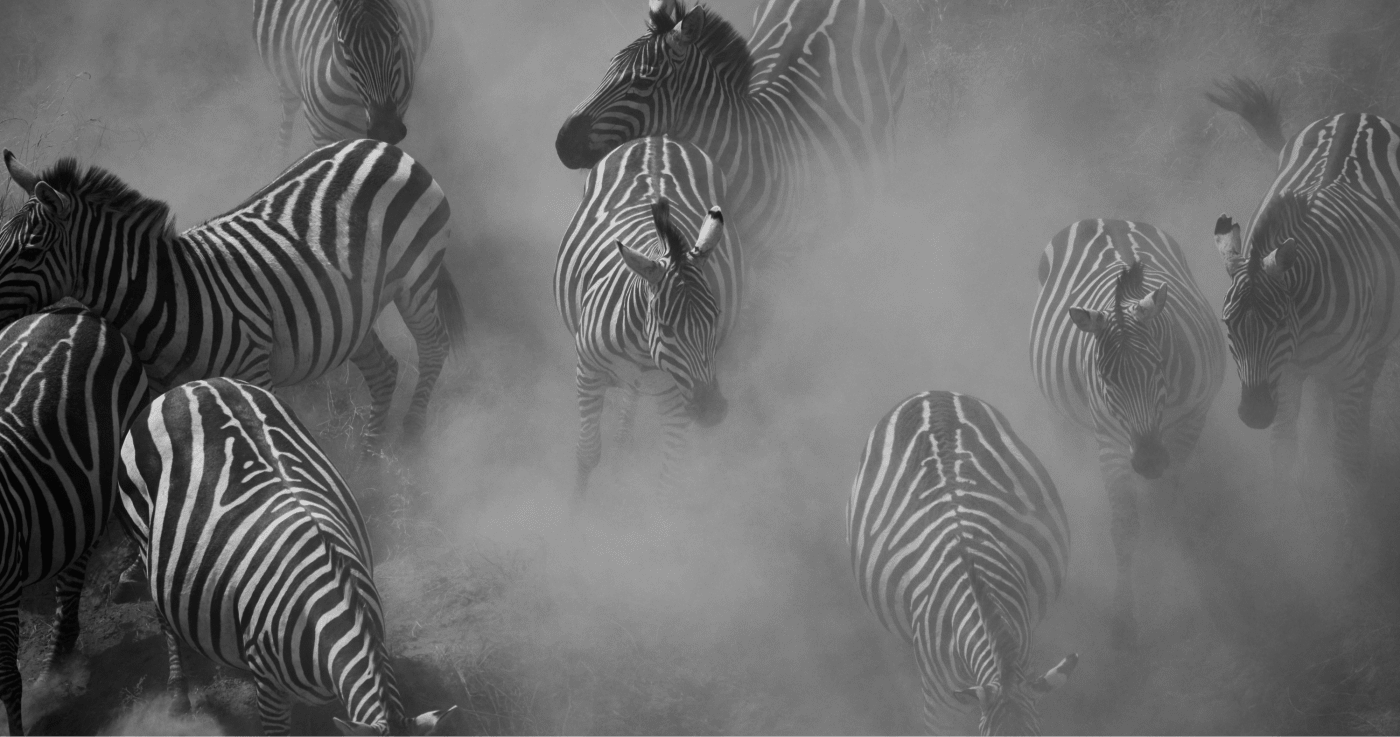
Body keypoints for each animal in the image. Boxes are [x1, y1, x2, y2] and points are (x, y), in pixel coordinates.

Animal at [0, 139, 464, 458]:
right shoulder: (166, 392)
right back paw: (369, 466)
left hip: (416, 278)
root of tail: (380, 145)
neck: (170, 296)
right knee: (384, 371)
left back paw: (412, 439)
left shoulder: (254, 371)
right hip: (351, 311)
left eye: (31, 251)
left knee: (434, 346)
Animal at [255, 0, 433, 154]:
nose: (386, 130)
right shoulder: (319, 132)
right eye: (345, 46)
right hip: (283, 72)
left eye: (396, 36)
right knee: (287, 118)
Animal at [556, 136, 741, 494]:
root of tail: (659, 138)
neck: (642, 349)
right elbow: (588, 452)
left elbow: (668, 479)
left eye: (715, 317)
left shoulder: (675, 394)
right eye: (667, 328)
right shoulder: (587, 370)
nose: (712, 411)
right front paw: (577, 509)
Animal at [1029, 218, 1225, 648]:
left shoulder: (1190, 422)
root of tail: (1103, 219)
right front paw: (1123, 619)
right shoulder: (1111, 443)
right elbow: (1124, 528)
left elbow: (1168, 507)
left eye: (1159, 364)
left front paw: (1180, 575)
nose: (1149, 461)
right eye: (1105, 379)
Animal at [1207, 77, 1400, 492]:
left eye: (1279, 322)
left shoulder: (1346, 370)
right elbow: (1282, 448)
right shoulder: (1287, 372)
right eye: (1228, 326)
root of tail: (1355, 114)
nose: (1254, 414)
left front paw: (1348, 506)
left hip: (1374, 341)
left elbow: (1345, 457)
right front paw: (1288, 502)